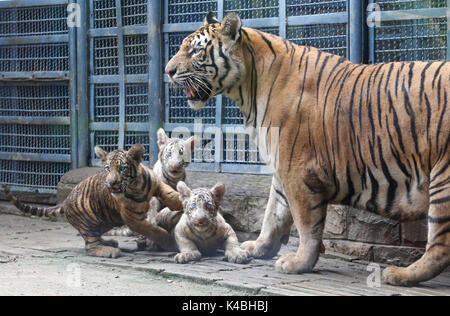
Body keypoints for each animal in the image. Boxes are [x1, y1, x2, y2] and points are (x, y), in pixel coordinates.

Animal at [2, 144, 181, 258]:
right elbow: (154, 230)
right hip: (88, 220)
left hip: (105, 221)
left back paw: (110, 242)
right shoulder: (132, 218)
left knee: (95, 237)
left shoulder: (157, 184)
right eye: (108, 168)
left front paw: (182, 202)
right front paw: (171, 243)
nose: (111, 183)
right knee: (90, 245)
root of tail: (65, 200)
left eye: (121, 168)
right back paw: (109, 251)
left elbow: (170, 194)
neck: (135, 187)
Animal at [167, 12, 450, 286]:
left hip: (443, 181)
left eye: (195, 50)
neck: (248, 87)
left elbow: (306, 225)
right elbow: (273, 214)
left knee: (440, 246)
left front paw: (298, 263)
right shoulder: (282, 169)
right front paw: (259, 248)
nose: (168, 71)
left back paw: (399, 275)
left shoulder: (298, 171)